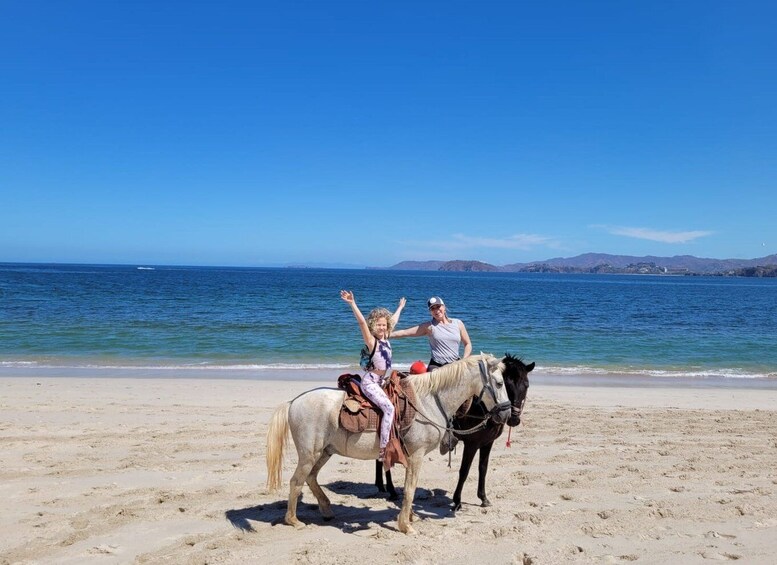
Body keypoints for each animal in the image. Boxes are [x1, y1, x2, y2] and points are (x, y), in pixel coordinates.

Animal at [264, 352, 512, 532]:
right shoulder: (417, 455)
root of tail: (293, 402)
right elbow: (410, 489)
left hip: (324, 452)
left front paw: (410, 517)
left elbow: (409, 488)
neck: (429, 400)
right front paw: (406, 525)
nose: (507, 414)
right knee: (296, 481)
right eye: (499, 383)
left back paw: (326, 510)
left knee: (311, 478)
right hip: (309, 454)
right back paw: (294, 520)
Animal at [376, 352, 532, 506]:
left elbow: (483, 468)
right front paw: (457, 500)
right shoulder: (471, 444)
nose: (513, 418)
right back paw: (391, 490)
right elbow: (464, 470)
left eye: (526, 385)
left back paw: (381, 485)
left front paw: (483, 498)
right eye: (504, 384)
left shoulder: (488, 443)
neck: (478, 406)